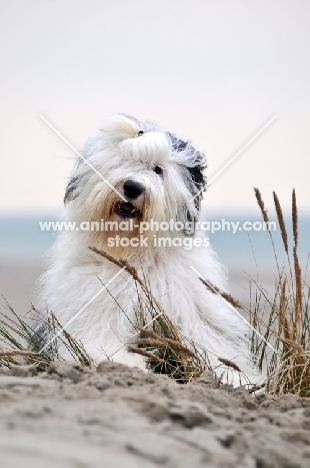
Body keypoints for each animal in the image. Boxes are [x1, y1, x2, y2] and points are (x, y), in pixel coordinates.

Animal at [37, 113, 258, 384]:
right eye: (123, 161)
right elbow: (101, 343)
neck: (134, 252)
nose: (132, 187)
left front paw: (234, 379)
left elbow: (214, 349)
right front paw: (127, 363)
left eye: (158, 169)